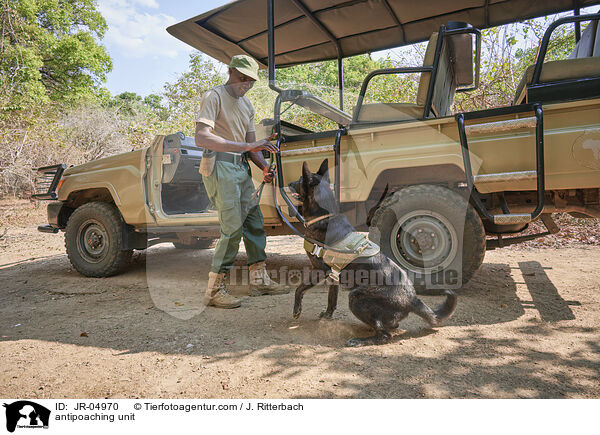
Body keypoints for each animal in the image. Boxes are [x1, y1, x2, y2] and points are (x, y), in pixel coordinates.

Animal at [288, 160, 458, 348]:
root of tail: (412, 298)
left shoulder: (319, 270)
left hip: (356, 297)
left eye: (299, 179)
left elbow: (299, 288)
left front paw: (296, 310)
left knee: (384, 335)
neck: (325, 216)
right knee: (389, 326)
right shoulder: (333, 276)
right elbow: (331, 300)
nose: (287, 183)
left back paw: (360, 340)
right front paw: (327, 316)